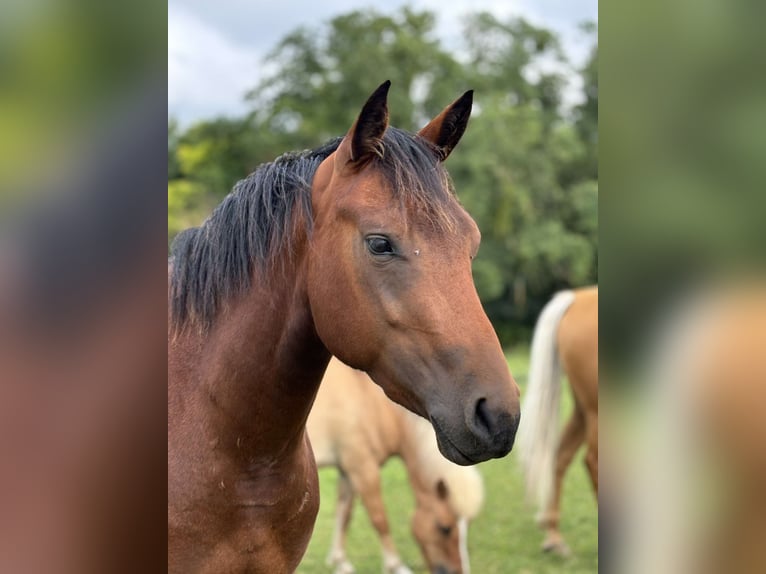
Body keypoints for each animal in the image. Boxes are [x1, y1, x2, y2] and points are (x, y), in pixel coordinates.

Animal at [308, 360, 484, 574]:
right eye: (445, 528)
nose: (460, 571)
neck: (368, 400)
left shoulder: (347, 471)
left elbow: (344, 514)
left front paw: (340, 561)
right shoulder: (363, 468)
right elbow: (379, 519)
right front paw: (396, 565)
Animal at [516, 288, 600, 560]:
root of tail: (576, 297)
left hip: (583, 409)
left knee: (560, 455)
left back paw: (553, 536)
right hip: (595, 408)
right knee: (592, 461)